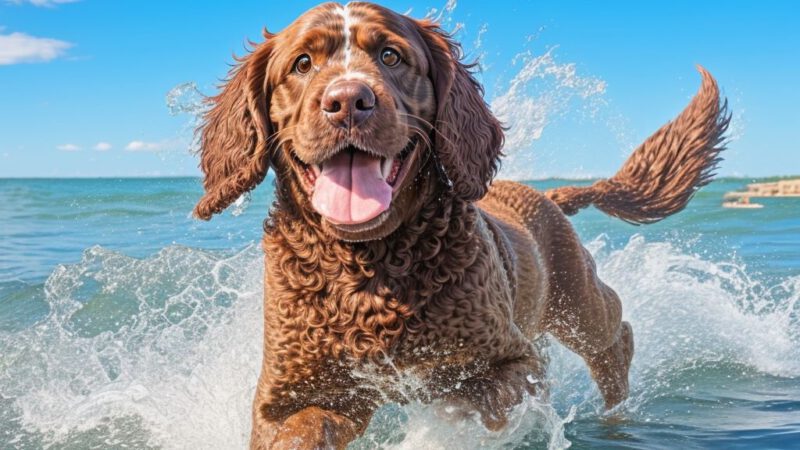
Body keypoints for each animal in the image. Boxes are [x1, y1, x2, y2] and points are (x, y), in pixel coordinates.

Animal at [194, 2, 732, 446]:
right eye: (302, 64)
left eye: (391, 56)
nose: (348, 100)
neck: (366, 273)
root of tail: (547, 193)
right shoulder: (291, 396)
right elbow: (298, 429)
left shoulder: (511, 365)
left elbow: (457, 412)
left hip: (578, 303)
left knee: (615, 337)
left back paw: (618, 411)